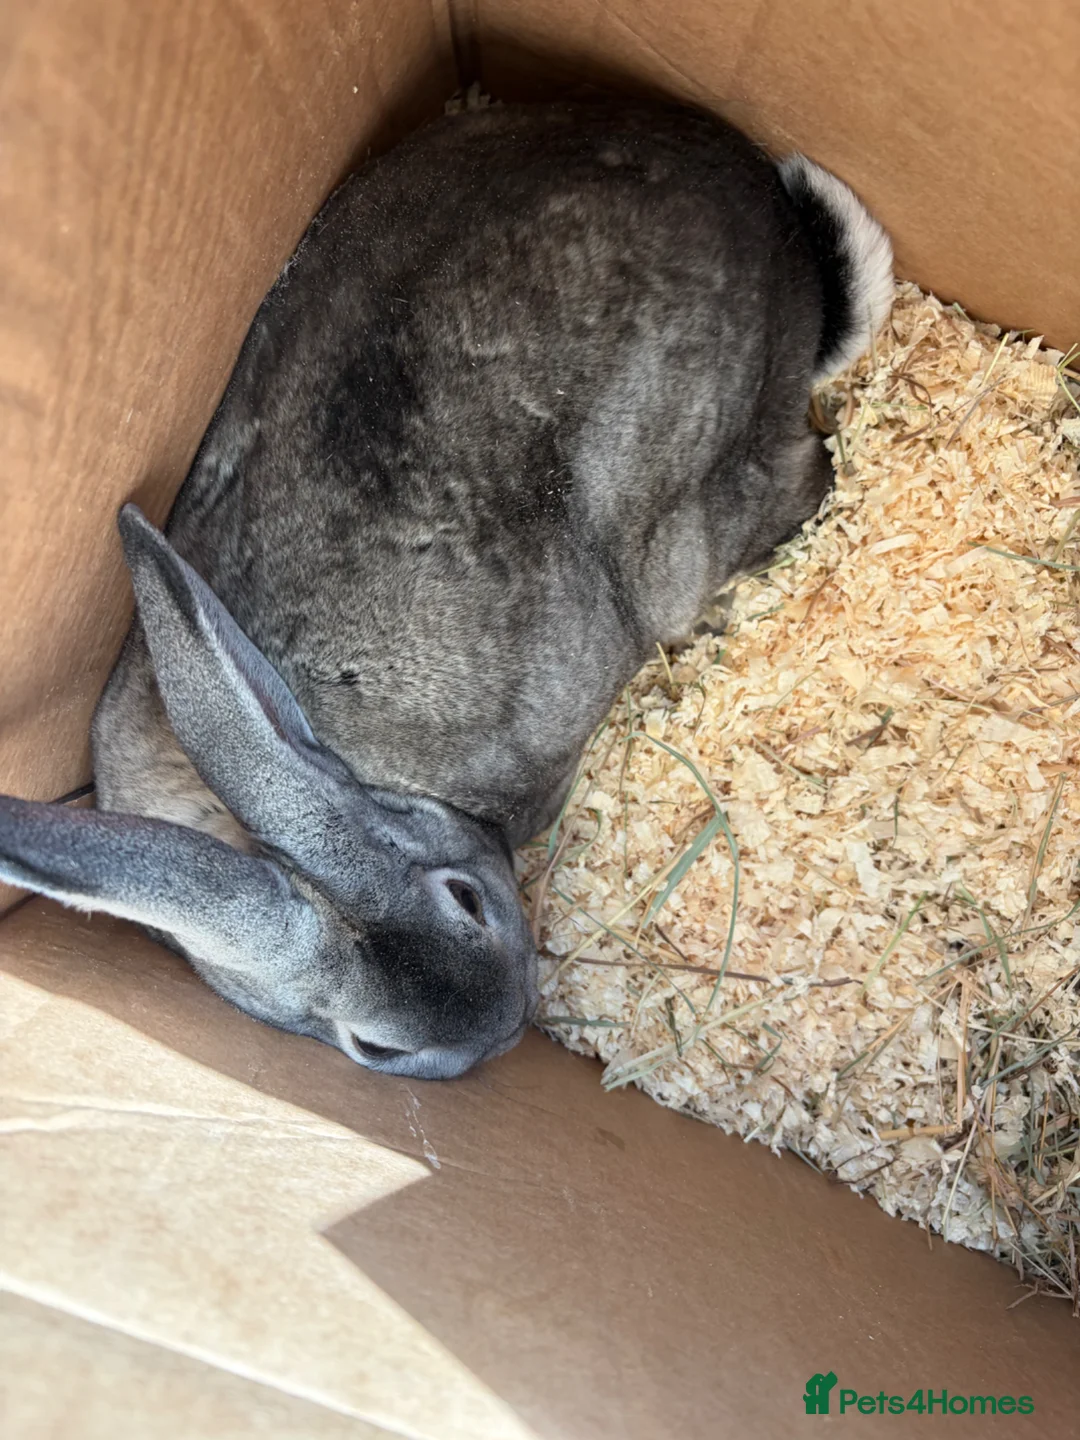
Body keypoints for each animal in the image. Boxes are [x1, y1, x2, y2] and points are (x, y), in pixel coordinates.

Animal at [0, 100, 892, 1079]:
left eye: (464, 897)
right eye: (374, 1046)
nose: (507, 1023)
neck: (356, 779)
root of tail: (776, 222)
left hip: (686, 534)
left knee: (808, 476)